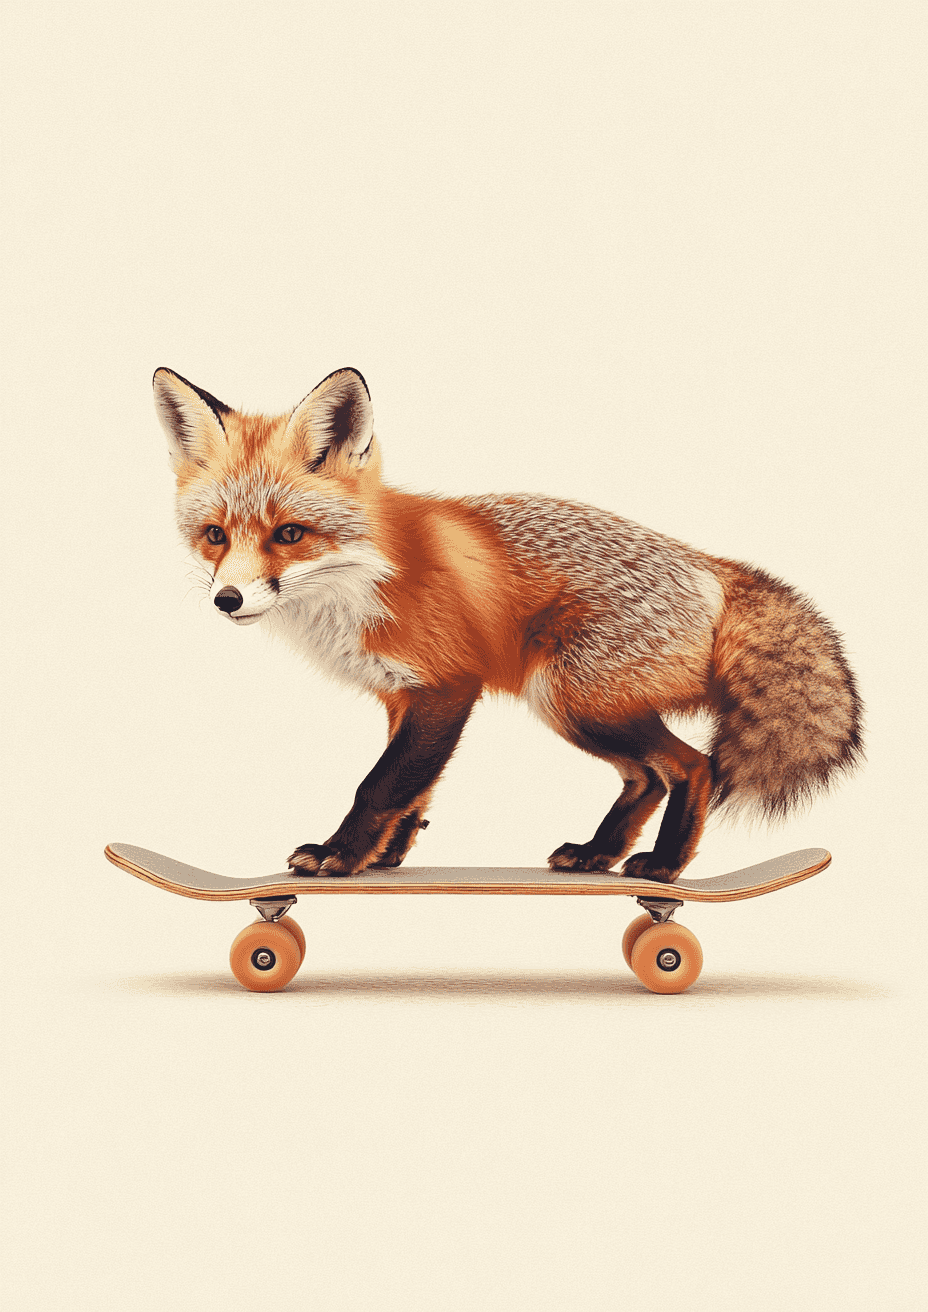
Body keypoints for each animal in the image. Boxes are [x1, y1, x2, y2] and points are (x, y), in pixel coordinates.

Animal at [153, 365, 863, 881]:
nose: (228, 599)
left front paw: (340, 856)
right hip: (575, 706)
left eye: (289, 534)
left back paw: (663, 866)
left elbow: (379, 785)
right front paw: (384, 858)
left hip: (574, 698)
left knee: (691, 767)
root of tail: (709, 564)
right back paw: (598, 853)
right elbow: (412, 788)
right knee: (644, 776)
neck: (363, 578)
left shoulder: (447, 685)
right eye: (215, 535)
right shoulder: (399, 697)